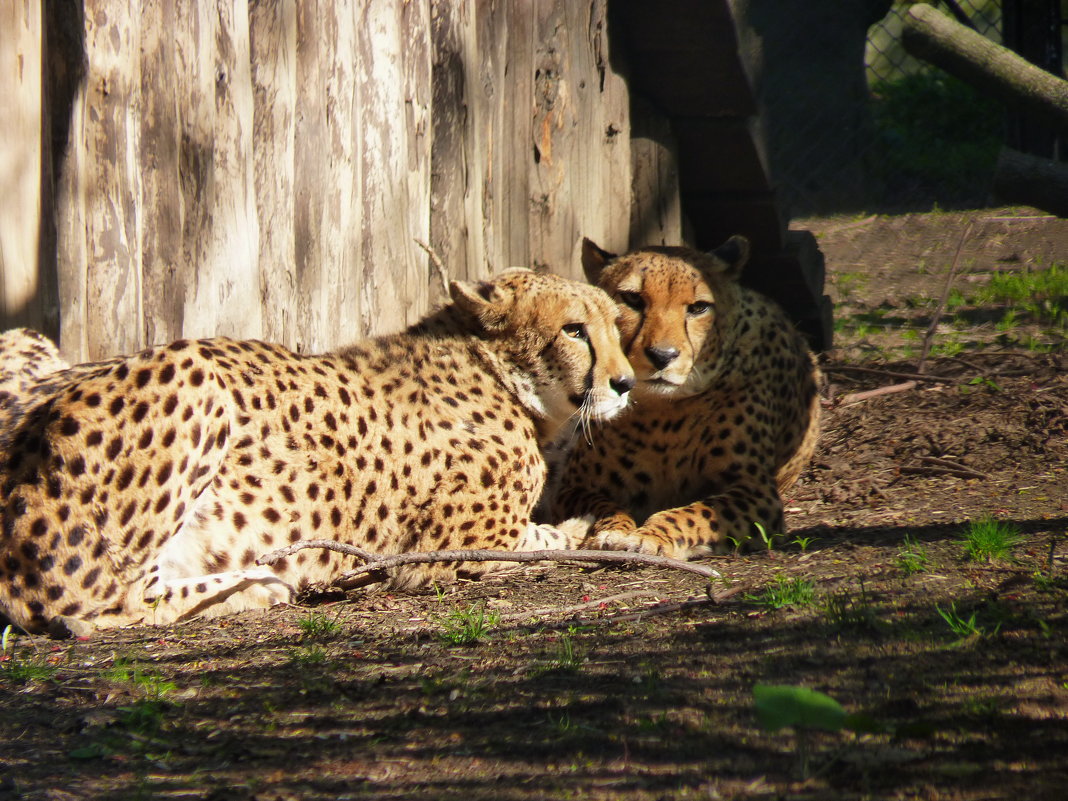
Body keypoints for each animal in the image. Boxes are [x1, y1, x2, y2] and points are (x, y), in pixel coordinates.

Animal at [0, 270, 632, 632]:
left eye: (614, 325)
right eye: (574, 330)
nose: (625, 382)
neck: (497, 372)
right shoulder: (457, 545)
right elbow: (551, 540)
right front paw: (594, 530)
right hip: (190, 369)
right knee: (90, 607)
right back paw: (262, 585)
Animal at [555, 238, 820, 559]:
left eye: (699, 307)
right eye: (632, 299)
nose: (662, 355)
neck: (661, 415)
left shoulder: (755, 489)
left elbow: (695, 513)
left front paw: (650, 536)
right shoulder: (574, 487)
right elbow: (605, 507)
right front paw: (612, 531)